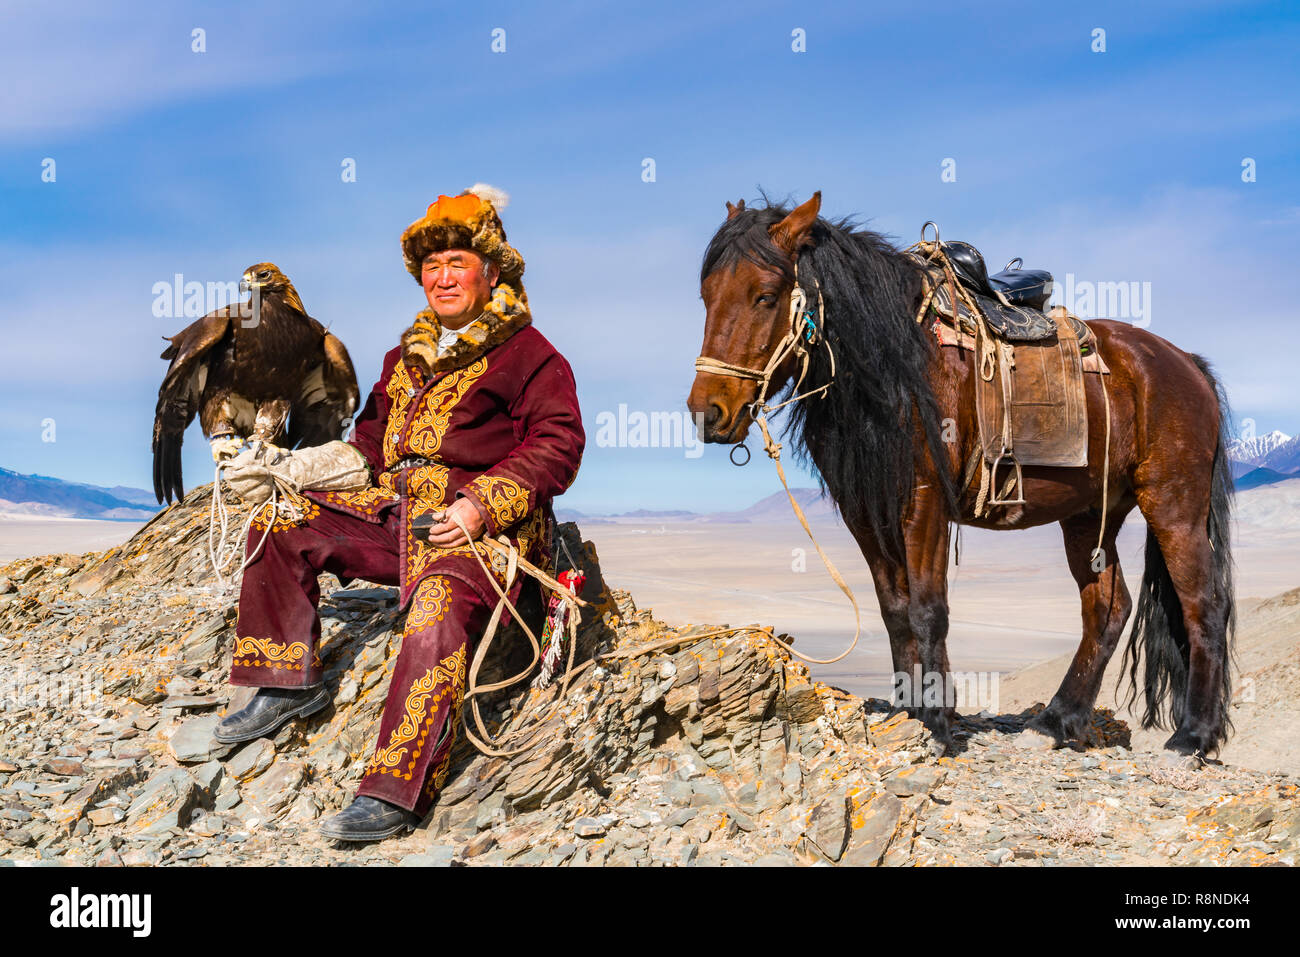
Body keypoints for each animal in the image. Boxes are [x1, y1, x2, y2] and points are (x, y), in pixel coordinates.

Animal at [687, 191, 1235, 763]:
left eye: (765, 296)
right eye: (707, 295)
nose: (708, 413)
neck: (897, 366)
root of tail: (1184, 363)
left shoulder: (923, 501)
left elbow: (929, 609)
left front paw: (938, 726)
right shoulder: (868, 513)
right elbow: (895, 610)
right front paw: (913, 712)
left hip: (1174, 505)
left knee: (1205, 605)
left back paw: (1193, 735)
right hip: (1089, 516)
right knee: (1107, 610)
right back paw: (1058, 720)